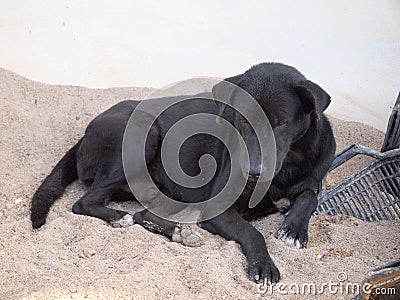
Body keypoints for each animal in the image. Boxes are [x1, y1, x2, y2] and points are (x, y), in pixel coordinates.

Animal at [31, 62, 336, 284]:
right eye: (242, 119)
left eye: (281, 123)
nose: (253, 172)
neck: (287, 166)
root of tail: (84, 134)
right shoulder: (218, 209)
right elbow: (253, 233)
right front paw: (264, 264)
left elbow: (309, 196)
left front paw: (294, 228)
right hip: (143, 135)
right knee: (84, 203)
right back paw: (120, 217)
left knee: (142, 212)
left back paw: (179, 232)